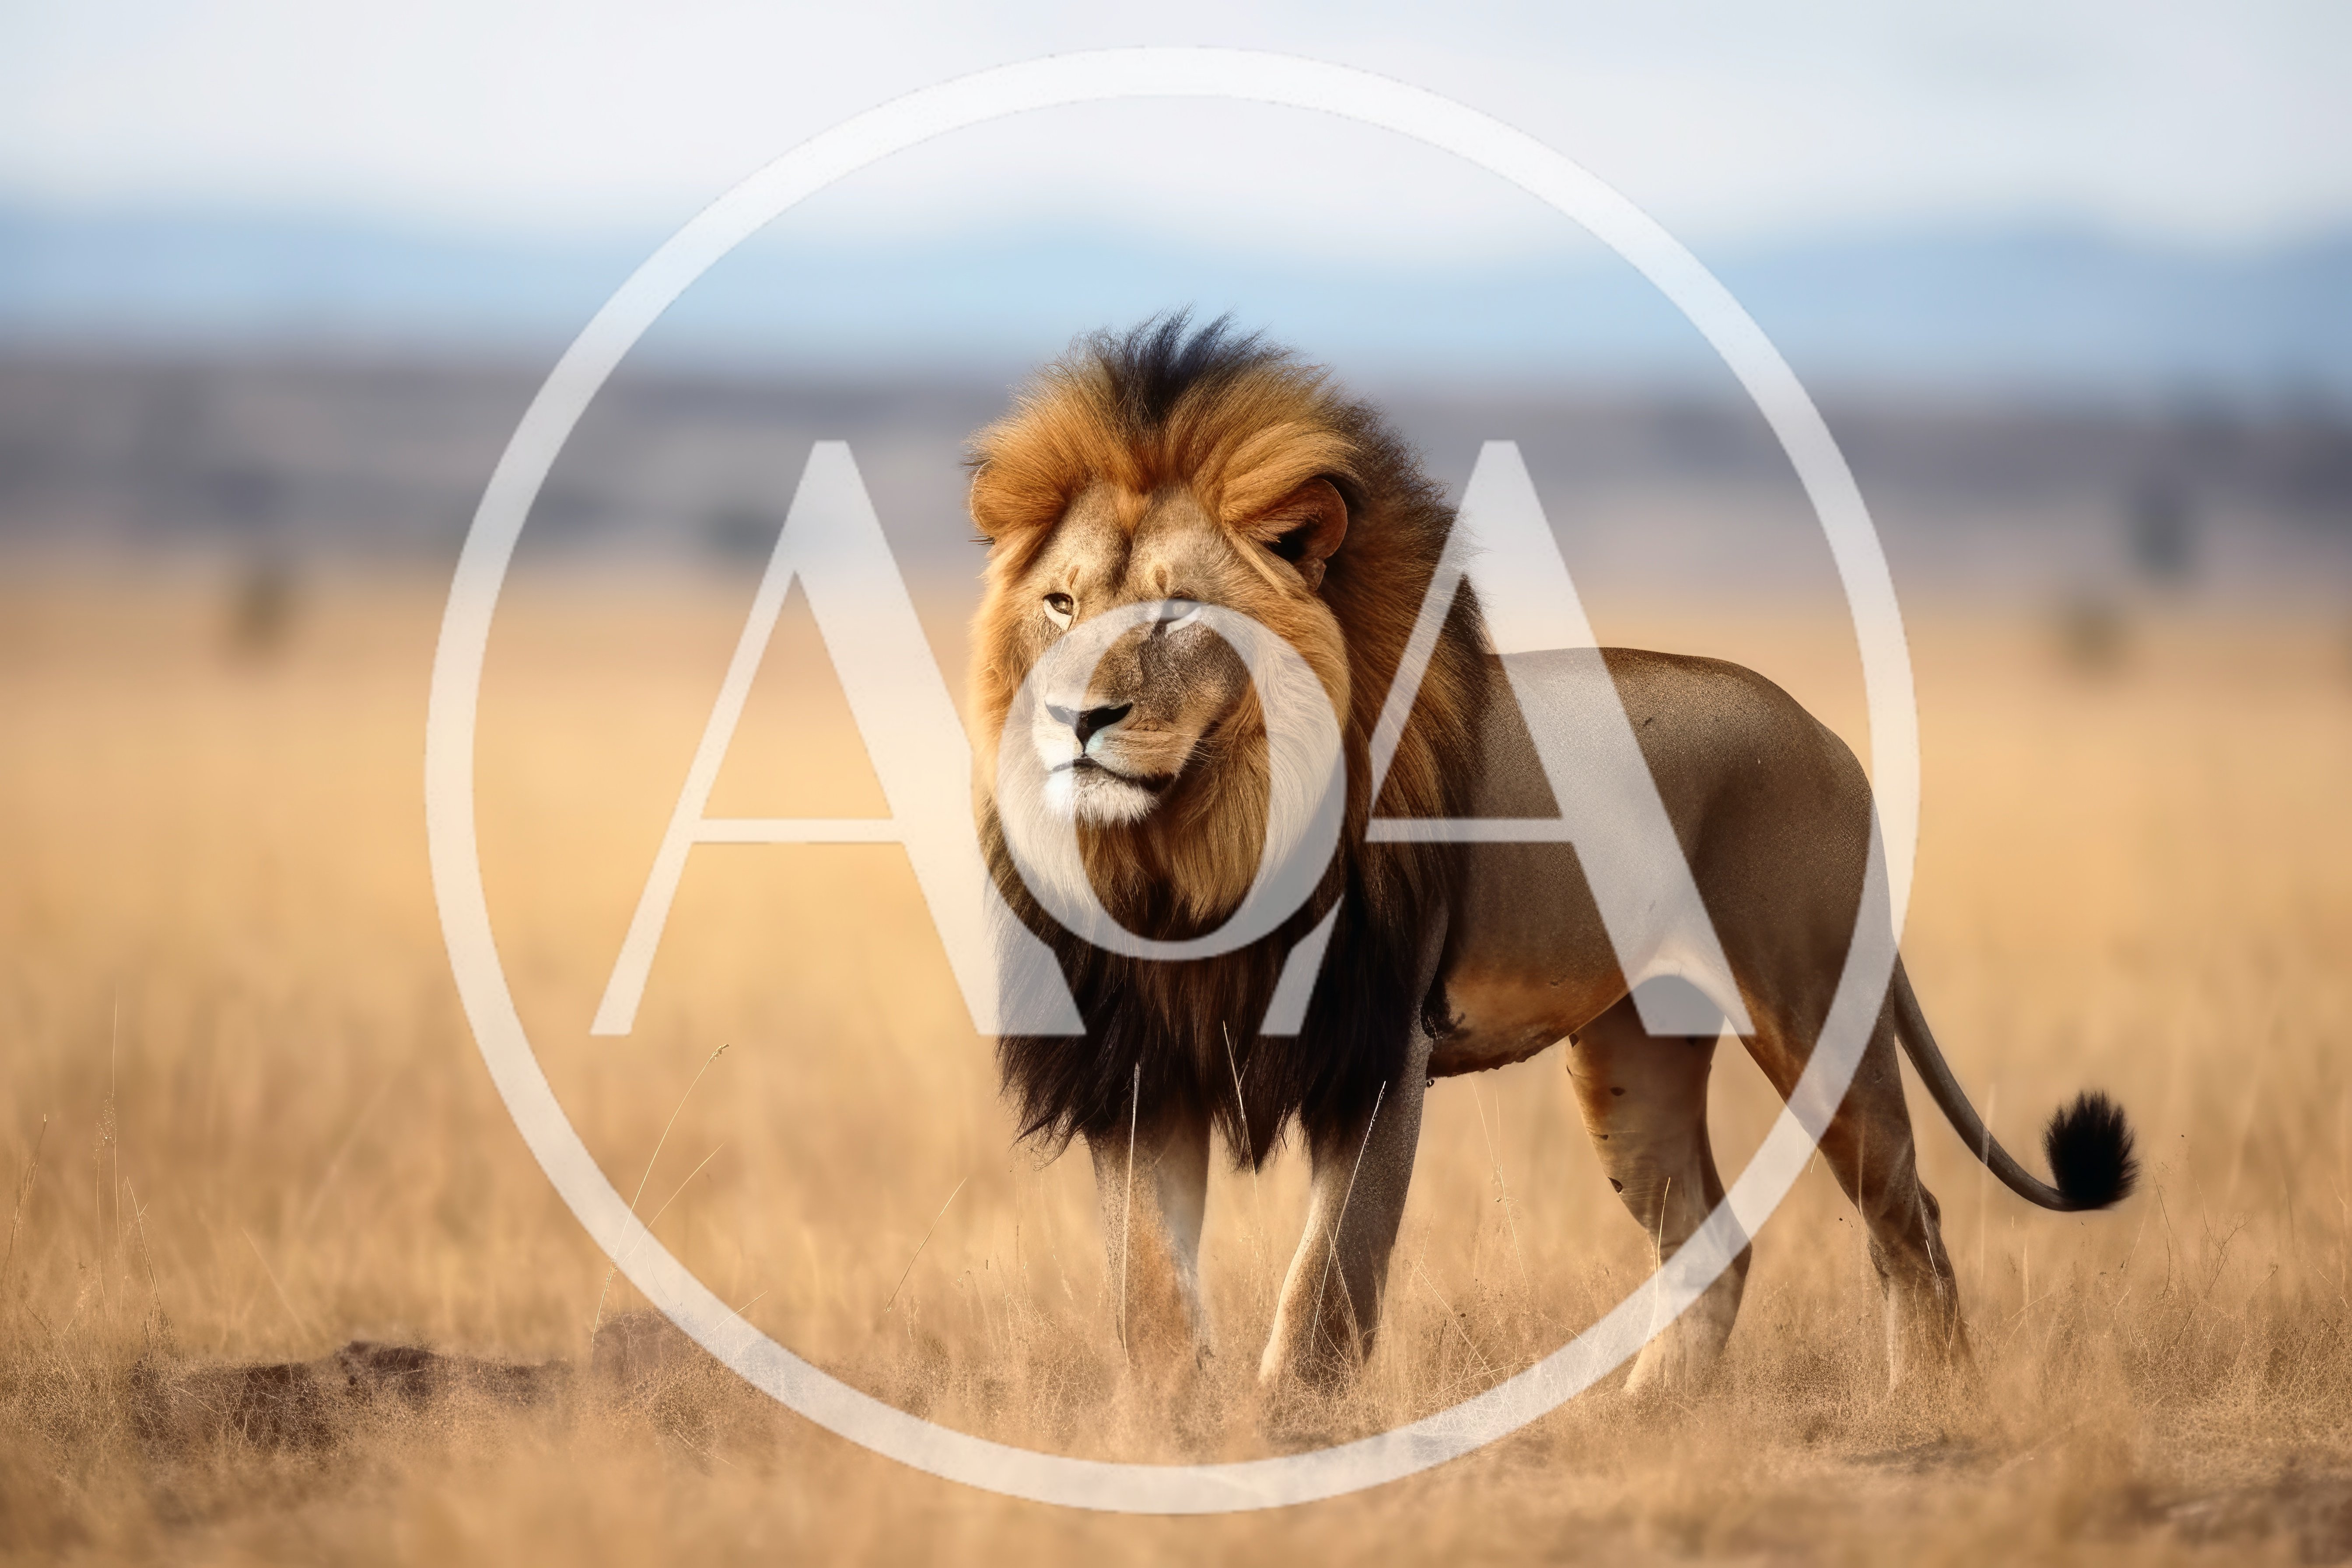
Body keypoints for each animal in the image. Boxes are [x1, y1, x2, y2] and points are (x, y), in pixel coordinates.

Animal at [966, 315, 2136, 1394]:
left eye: (1177, 612)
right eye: (1061, 603)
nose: (1074, 717)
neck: (1191, 852)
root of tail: (1827, 737)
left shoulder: (1381, 1051)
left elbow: (1326, 1286)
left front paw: (1289, 1438)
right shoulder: (1139, 1062)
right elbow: (1148, 1293)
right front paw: (1174, 1436)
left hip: (1814, 1014)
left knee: (1913, 1224)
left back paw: (1923, 1410)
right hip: (1634, 1058)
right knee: (1712, 1244)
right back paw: (1644, 1417)